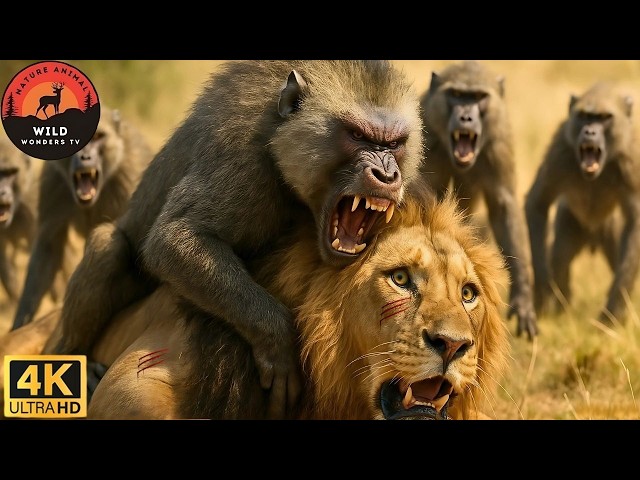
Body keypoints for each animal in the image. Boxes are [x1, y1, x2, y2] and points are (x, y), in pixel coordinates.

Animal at [11, 107, 154, 330]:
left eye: (98, 137)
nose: (84, 157)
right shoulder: (54, 179)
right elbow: (49, 246)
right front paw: (21, 322)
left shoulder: (129, 176)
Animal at [50, 60, 427, 419]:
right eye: (358, 135)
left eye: (394, 144)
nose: (387, 175)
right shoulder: (243, 161)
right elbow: (172, 239)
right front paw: (279, 345)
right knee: (108, 246)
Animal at [419, 60, 538, 340]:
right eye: (457, 95)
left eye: (478, 97)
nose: (465, 117)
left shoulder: (499, 143)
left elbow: (503, 205)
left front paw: (523, 299)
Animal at [525, 81, 640, 324]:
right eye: (585, 116)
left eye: (604, 117)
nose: (589, 132)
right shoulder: (560, 150)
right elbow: (538, 203)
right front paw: (543, 289)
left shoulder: (631, 160)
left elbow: (635, 222)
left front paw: (613, 313)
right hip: (570, 223)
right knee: (561, 257)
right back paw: (560, 307)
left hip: (611, 228)